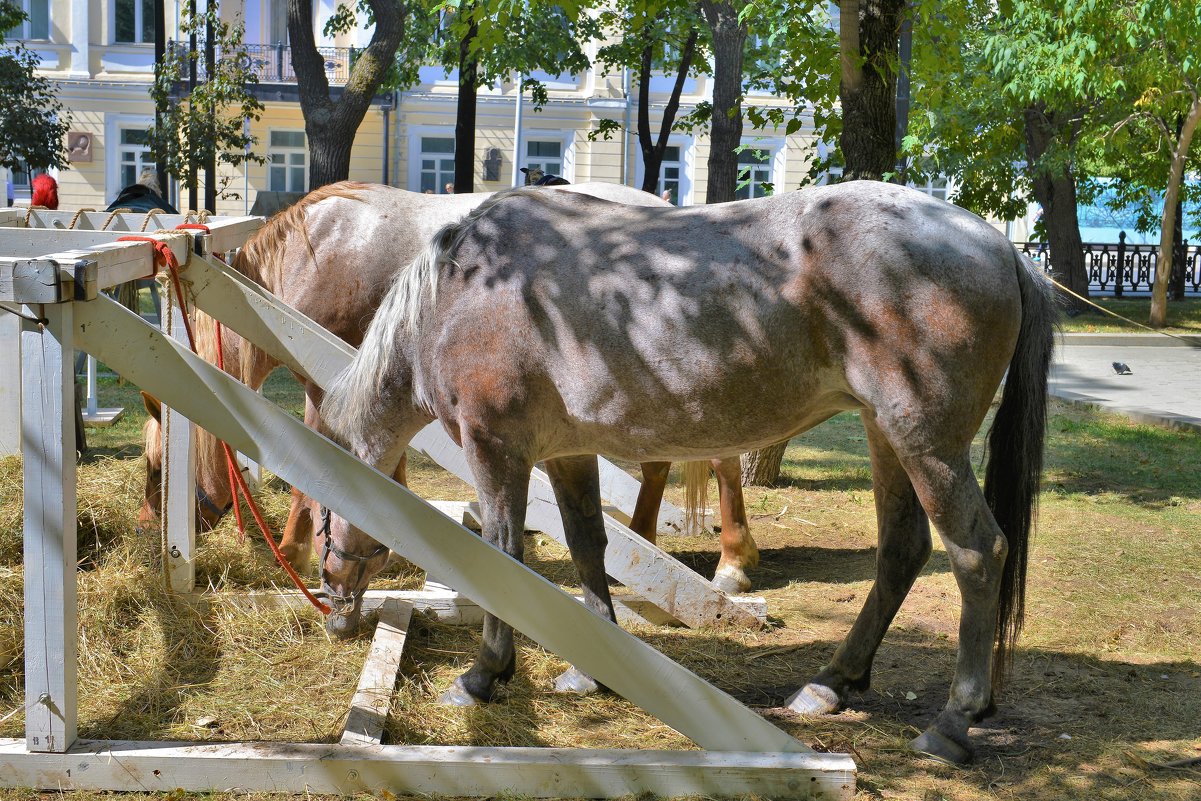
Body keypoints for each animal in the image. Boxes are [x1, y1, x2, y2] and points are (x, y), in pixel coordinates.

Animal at [140, 184, 759, 593]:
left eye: (155, 468)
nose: (150, 532)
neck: (316, 254)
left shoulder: (328, 380)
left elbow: (315, 468)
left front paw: (294, 548)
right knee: (658, 466)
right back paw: (645, 539)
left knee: (723, 462)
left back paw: (733, 562)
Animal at [321, 181, 1061, 763]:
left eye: (322, 511)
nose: (333, 611)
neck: (463, 291)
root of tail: (998, 246)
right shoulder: (564, 453)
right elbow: (588, 545)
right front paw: (593, 666)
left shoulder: (495, 449)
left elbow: (502, 557)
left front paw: (482, 677)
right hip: (888, 437)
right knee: (902, 549)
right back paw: (830, 682)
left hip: (926, 444)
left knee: (977, 552)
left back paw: (952, 722)